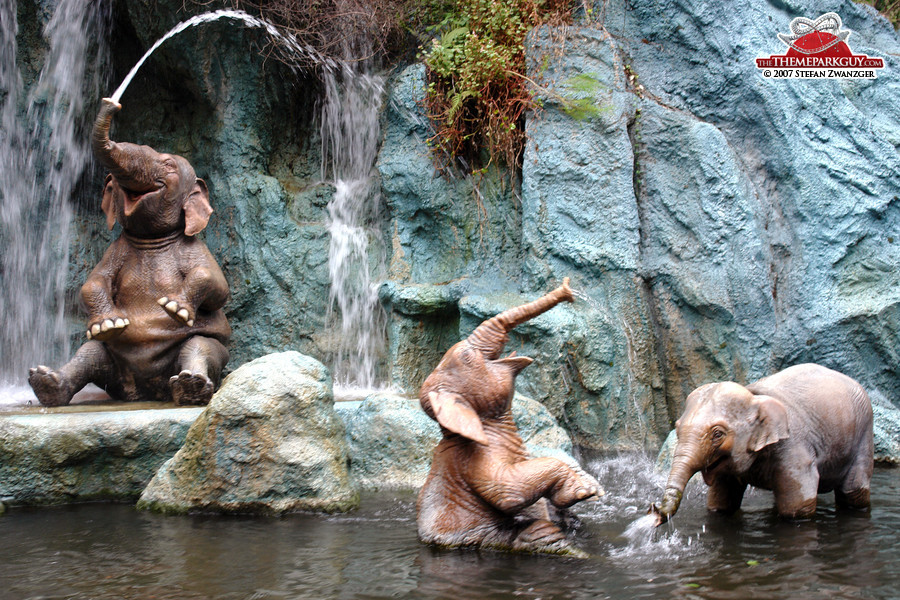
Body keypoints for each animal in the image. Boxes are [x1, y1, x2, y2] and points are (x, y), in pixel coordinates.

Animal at [29, 98, 230, 408]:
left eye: (169, 165)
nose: (111, 102)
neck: (151, 238)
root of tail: (146, 390)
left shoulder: (194, 247)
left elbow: (217, 285)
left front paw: (174, 308)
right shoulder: (116, 250)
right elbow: (94, 280)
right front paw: (109, 323)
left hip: (208, 352)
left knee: (200, 346)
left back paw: (191, 387)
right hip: (113, 367)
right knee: (89, 353)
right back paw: (47, 383)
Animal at [418, 278, 600, 556]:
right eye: (467, 357)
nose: (568, 291)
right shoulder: (475, 457)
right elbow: (508, 493)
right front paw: (587, 491)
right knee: (536, 532)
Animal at [652, 360, 876, 524]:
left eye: (717, 434)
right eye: (677, 428)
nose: (656, 510)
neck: (754, 396)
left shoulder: (794, 447)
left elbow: (797, 509)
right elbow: (721, 502)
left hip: (864, 432)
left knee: (854, 491)